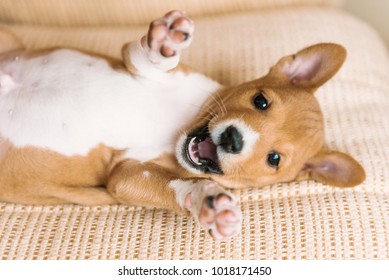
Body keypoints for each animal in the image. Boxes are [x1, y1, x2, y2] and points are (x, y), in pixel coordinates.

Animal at [0, 9, 364, 240]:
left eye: (273, 159)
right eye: (261, 101)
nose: (233, 140)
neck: (178, 125)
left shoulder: (126, 174)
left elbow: (176, 186)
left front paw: (208, 200)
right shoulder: (140, 66)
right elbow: (151, 59)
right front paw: (166, 43)